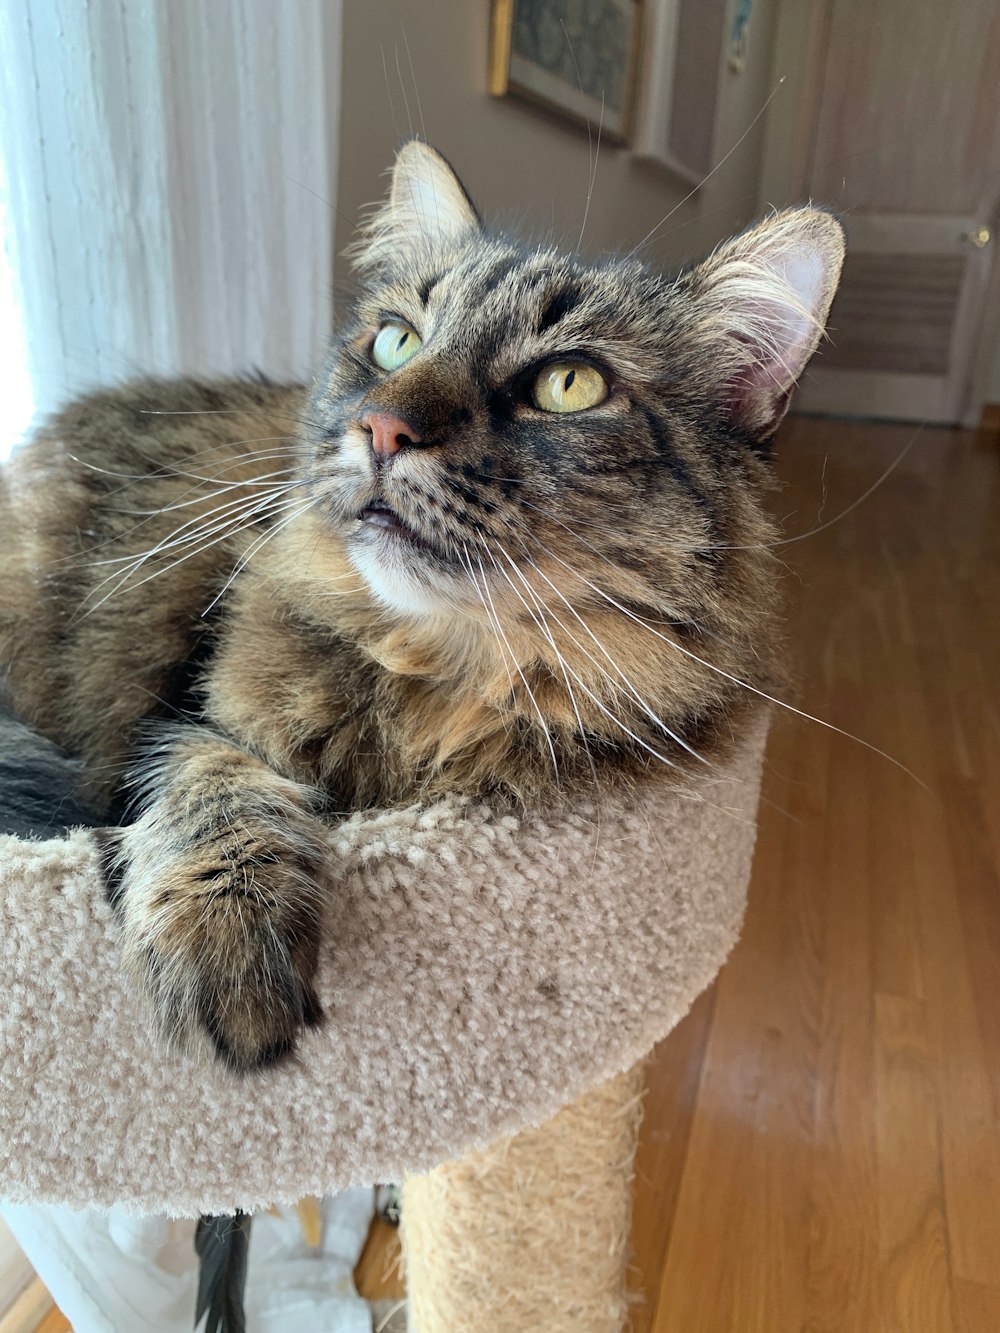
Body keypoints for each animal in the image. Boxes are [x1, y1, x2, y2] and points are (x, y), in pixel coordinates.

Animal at [0, 140, 848, 1071]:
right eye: (396, 341)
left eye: (570, 384)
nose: (381, 426)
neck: (434, 673)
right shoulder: (179, 716)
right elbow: (214, 783)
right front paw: (232, 945)